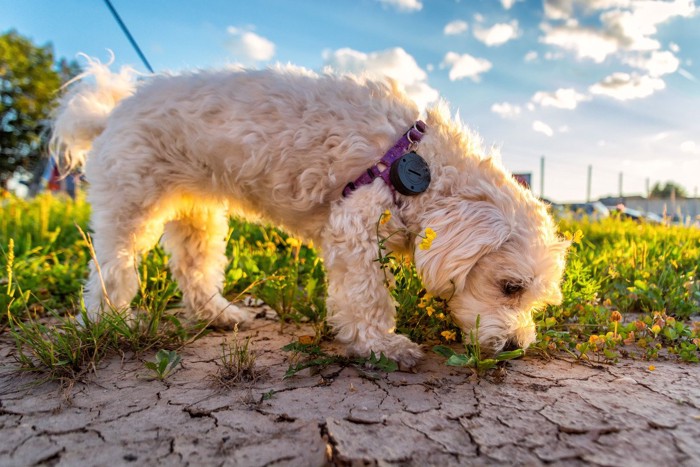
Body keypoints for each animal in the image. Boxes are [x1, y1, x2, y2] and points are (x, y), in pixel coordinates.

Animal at [54, 59, 568, 366]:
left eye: (536, 299)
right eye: (510, 286)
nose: (517, 347)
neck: (423, 164)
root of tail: (112, 112)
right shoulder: (357, 224)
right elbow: (367, 297)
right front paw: (379, 345)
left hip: (198, 216)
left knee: (194, 267)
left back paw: (220, 314)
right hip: (132, 203)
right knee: (113, 267)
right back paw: (106, 321)